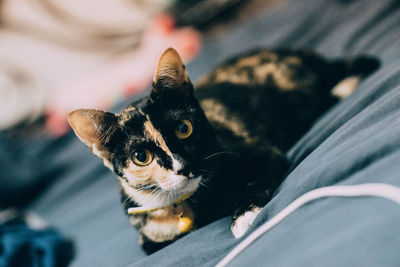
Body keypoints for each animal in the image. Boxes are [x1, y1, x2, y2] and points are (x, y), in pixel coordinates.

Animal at [68, 47, 378, 254]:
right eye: (141, 157)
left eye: (183, 128)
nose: (184, 166)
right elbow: (153, 241)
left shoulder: (257, 150)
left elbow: (254, 181)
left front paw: (245, 217)